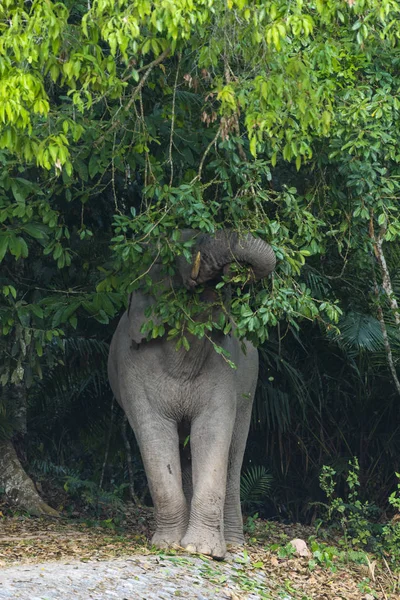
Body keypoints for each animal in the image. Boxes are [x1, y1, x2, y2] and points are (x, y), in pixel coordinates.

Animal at [108, 230, 276, 556]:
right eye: (172, 251)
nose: (234, 270)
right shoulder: (133, 370)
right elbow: (155, 435)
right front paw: (169, 544)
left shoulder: (225, 369)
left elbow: (212, 433)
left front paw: (203, 550)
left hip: (250, 384)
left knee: (234, 454)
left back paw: (233, 543)